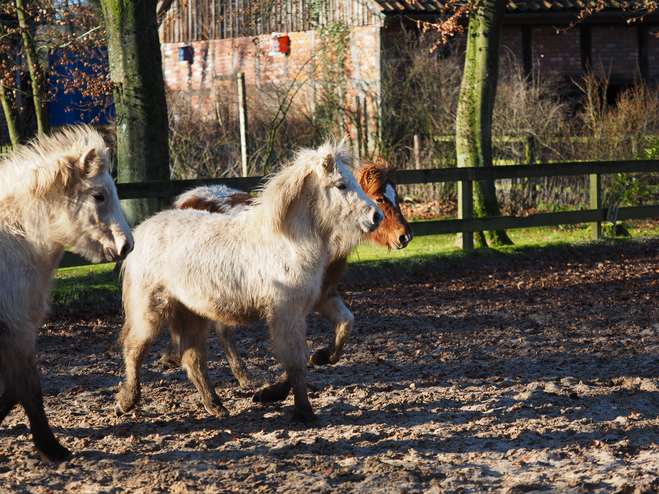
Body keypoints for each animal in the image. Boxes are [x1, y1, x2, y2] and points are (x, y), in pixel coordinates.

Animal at [0, 125, 134, 462]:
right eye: (99, 195)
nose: (127, 245)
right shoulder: (17, 329)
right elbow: (29, 388)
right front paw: (52, 449)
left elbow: (13, 390)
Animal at [117, 140, 382, 424]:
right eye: (341, 185)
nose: (376, 217)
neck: (286, 243)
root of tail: (141, 231)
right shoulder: (285, 312)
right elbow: (296, 360)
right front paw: (303, 411)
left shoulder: (309, 304)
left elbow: (336, 331)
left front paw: (286, 382)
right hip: (151, 310)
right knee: (134, 349)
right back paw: (126, 402)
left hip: (191, 313)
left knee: (193, 359)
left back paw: (216, 406)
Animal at [164, 157, 412, 386]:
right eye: (380, 198)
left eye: (397, 198)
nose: (405, 236)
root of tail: (185, 200)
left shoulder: (325, 296)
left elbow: (346, 323)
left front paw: (322, 356)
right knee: (220, 329)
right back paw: (242, 376)